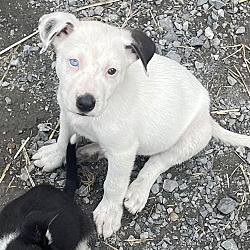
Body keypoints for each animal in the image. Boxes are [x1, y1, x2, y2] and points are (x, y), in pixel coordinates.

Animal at [34, 12, 250, 240]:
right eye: (73, 62)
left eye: (112, 71)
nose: (85, 103)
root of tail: (207, 116)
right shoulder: (67, 115)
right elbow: (62, 139)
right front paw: (54, 156)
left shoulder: (123, 152)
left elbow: (114, 184)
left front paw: (109, 213)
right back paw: (90, 151)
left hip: (190, 140)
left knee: (158, 161)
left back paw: (138, 190)